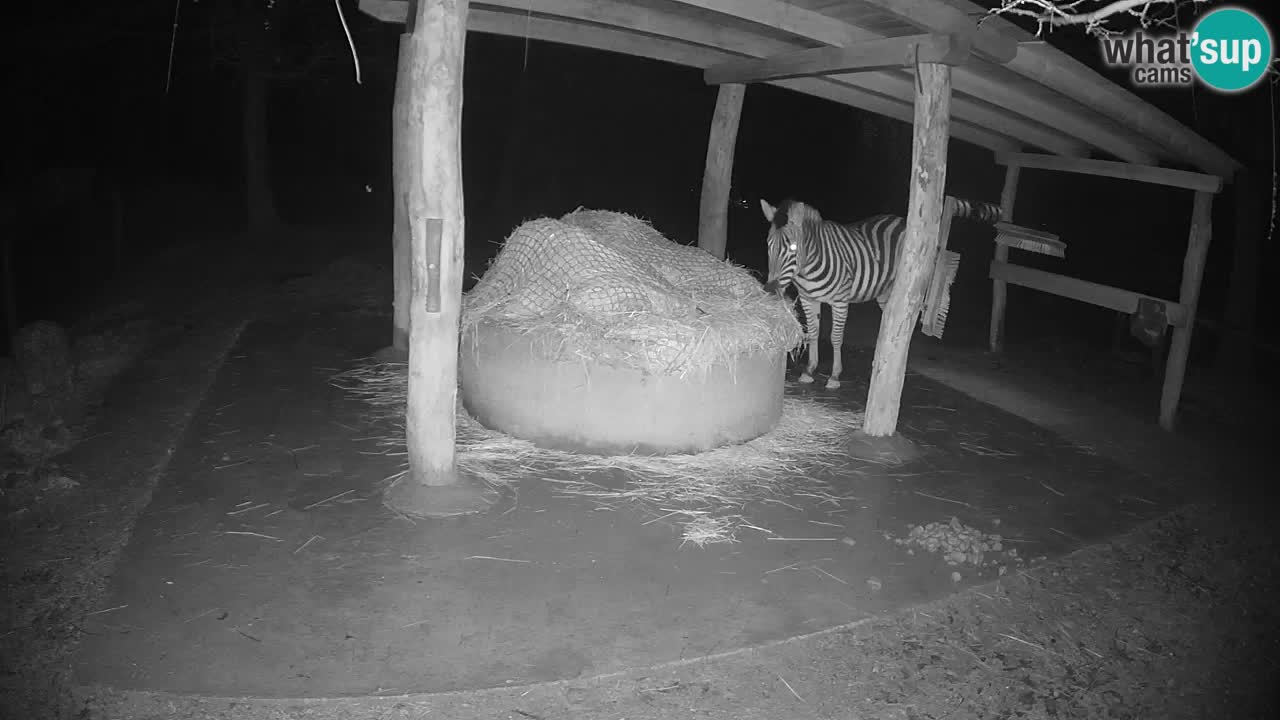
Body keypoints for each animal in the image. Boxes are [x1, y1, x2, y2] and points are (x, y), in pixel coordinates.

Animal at [760, 197, 1002, 389]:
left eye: (792, 248)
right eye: (768, 245)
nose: (770, 290)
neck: (808, 266)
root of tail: (901, 220)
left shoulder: (840, 301)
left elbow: (836, 337)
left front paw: (835, 376)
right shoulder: (808, 299)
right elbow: (813, 332)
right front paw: (810, 370)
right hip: (886, 294)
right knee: (889, 324)